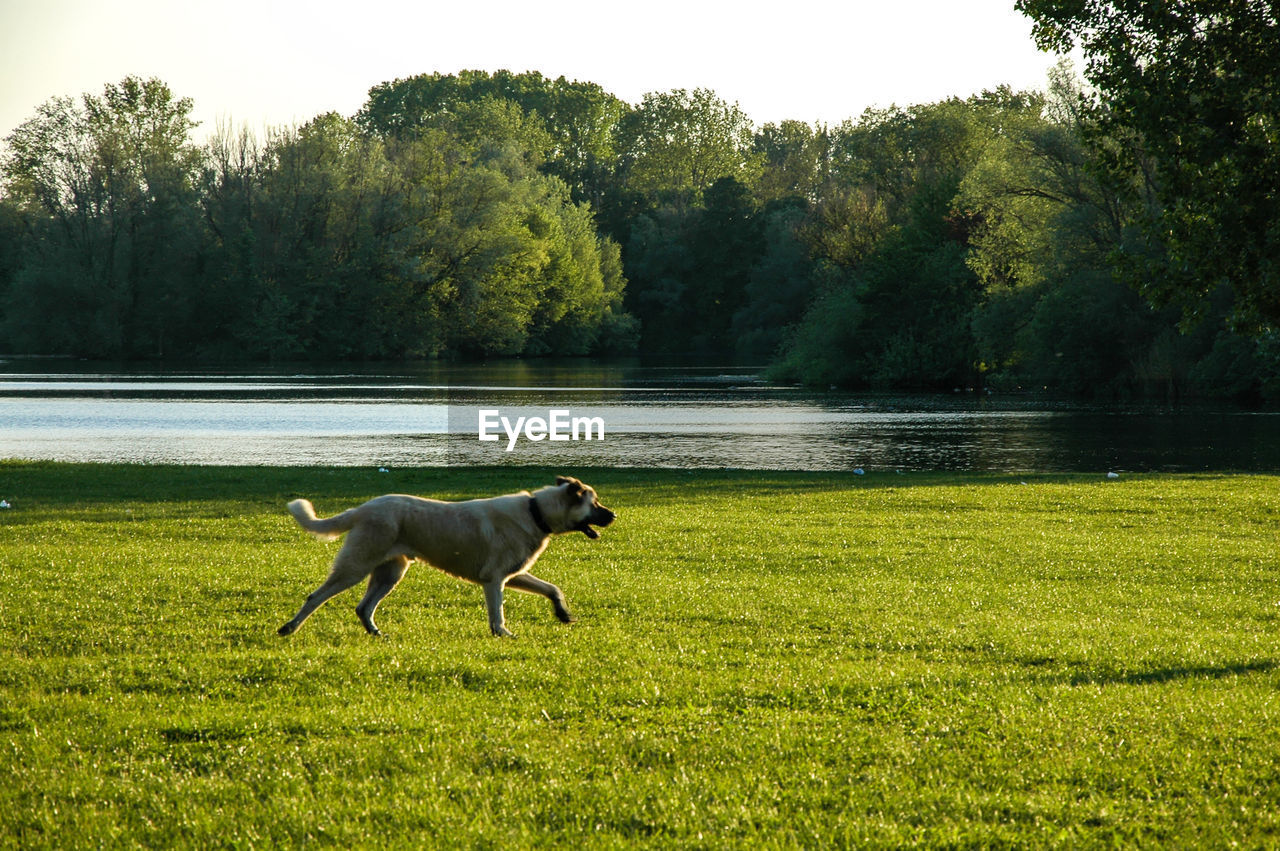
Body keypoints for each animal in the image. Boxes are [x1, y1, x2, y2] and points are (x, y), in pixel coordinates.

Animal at [279, 473, 614, 634]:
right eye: (595, 503)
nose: (614, 515)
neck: (537, 512)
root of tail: (363, 508)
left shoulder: (514, 576)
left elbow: (552, 589)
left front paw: (563, 613)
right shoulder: (495, 581)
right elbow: (497, 614)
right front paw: (503, 634)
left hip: (390, 573)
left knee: (363, 607)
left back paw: (376, 633)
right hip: (356, 566)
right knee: (316, 597)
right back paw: (289, 628)